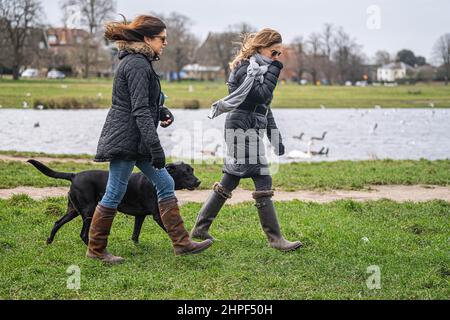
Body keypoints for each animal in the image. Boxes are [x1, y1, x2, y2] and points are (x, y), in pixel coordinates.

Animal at [28, 160, 202, 245]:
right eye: (185, 172)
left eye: (192, 170)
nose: (198, 181)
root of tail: (74, 175)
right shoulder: (158, 215)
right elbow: (171, 229)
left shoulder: (140, 216)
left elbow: (135, 234)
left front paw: (137, 246)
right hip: (89, 210)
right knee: (83, 233)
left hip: (73, 210)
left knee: (58, 222)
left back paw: (49, 241)